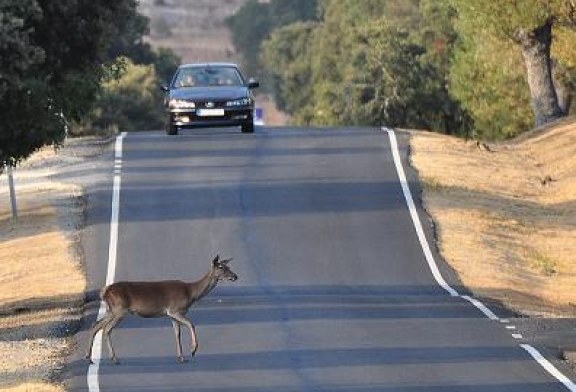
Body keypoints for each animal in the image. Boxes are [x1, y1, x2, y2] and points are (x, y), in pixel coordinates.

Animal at [84, 254, 237, 364]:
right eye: (221, 267)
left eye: (228, 266)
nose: (235, 276)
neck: (191, 293)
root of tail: (104, 291)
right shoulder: (175, 310)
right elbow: (191, 324)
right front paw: (193, 350)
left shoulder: (171, 315)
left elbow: (177, 334)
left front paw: (181, 357)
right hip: (119, 310)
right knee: (106, 329)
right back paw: (114, 359)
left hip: (110, 310)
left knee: (95, 325)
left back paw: (89, 357)